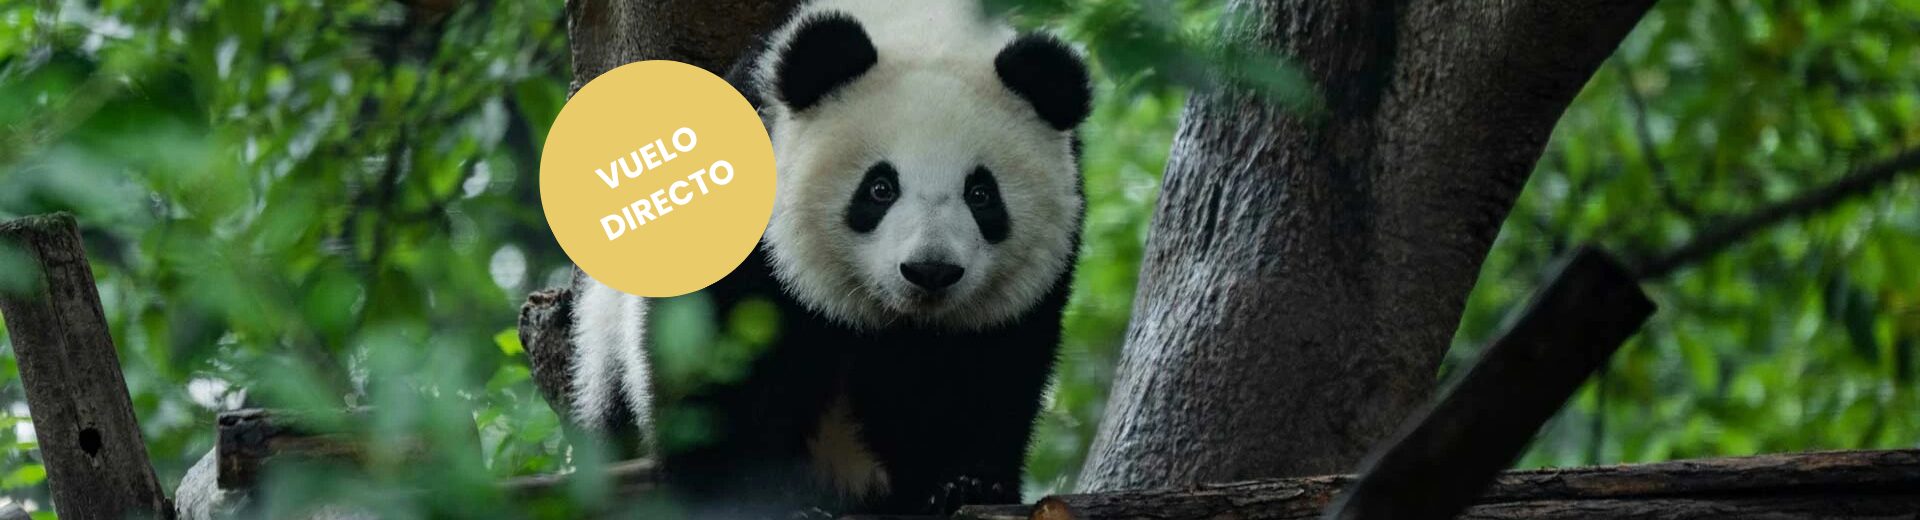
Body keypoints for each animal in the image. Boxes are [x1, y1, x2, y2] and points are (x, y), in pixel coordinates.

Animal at [566, 0, 1091, 515]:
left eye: (981, 194)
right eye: (879, 188)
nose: (930, 271)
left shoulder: (1022, 295)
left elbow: (986, 378)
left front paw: (964, 485)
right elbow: (719, 368)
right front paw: (747, 492)